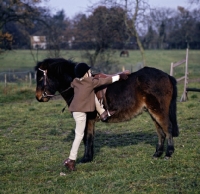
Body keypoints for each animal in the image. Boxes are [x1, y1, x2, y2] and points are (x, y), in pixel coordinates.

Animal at [35, 57, 179, 162]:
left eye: (41, 78)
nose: (38, 97)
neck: (80, 85)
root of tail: (166, 75)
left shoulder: (87, 118)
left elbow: (86, 137)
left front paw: (85, 159)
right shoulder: (90, 120)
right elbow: (90, 137)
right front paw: (89, 157)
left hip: (158, 110)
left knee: (167, 128)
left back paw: (168, 153)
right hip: (152, 111)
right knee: (160, 132)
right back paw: (157, 154)